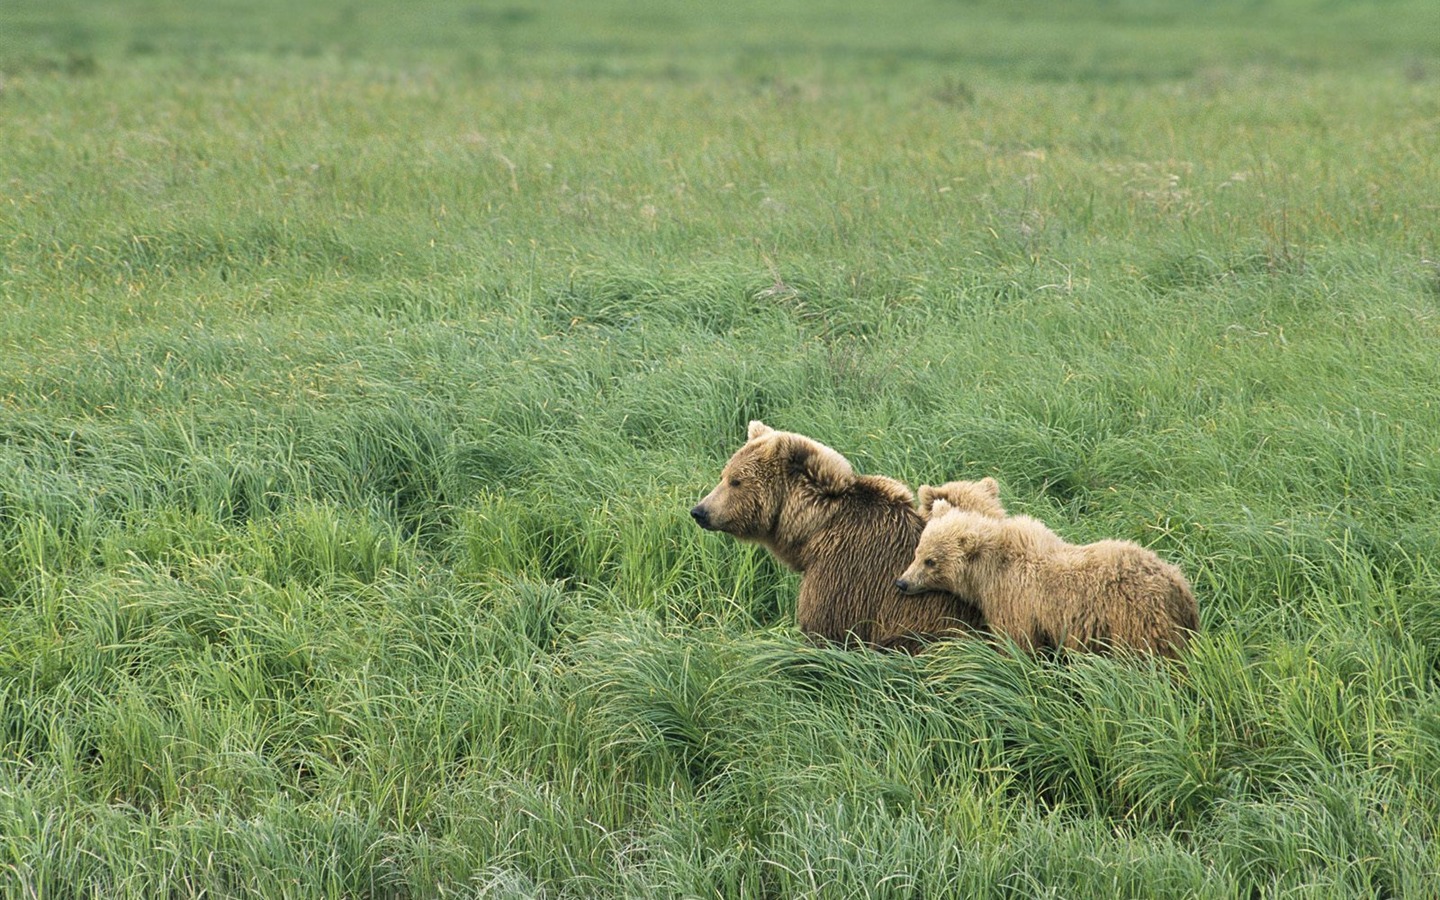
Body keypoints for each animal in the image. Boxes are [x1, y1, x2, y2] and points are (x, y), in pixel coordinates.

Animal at [691, 420, 984, 653]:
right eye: (724, 475)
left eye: (736, 481)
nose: (700, 511)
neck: (813, 531)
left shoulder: (844, 572)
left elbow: (826, 626)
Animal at [892, 498, 1198, 659]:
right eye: (918, 553)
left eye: (931, 561)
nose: (902, 582)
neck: (987, 575)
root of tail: (1179, 586)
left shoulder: (1016, 601)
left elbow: (1018, 642)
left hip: (1136, 622)